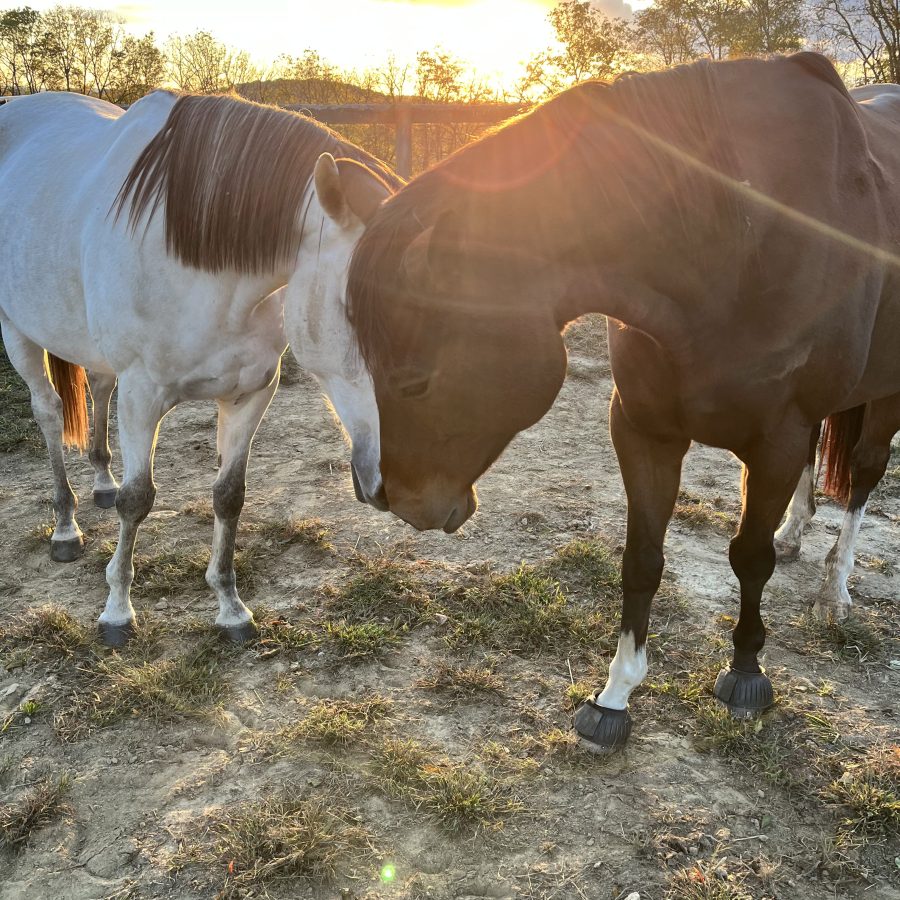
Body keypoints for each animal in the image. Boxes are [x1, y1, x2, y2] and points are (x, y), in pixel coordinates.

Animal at [0, 90, 400, 646]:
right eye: (357, 310)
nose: (402, 484)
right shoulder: (142, 395)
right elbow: (138, 499)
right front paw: (117, 611)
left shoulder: (252, 391)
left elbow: (229, 496)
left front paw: (231, 608)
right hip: (17, 330)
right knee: (48, 412)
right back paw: (65, 527)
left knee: (98, 388)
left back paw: (101, 481)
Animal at [346, 52, 900, 752]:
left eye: (415, 381)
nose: (392, 498)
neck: (734, 240)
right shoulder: (644, 429)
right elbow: (642, 559)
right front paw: (614, 695)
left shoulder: (773, 439)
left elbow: (750, 558)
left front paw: (746, 674)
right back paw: (799, 532)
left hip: (886, 396)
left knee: (863, 478)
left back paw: (836, 588)